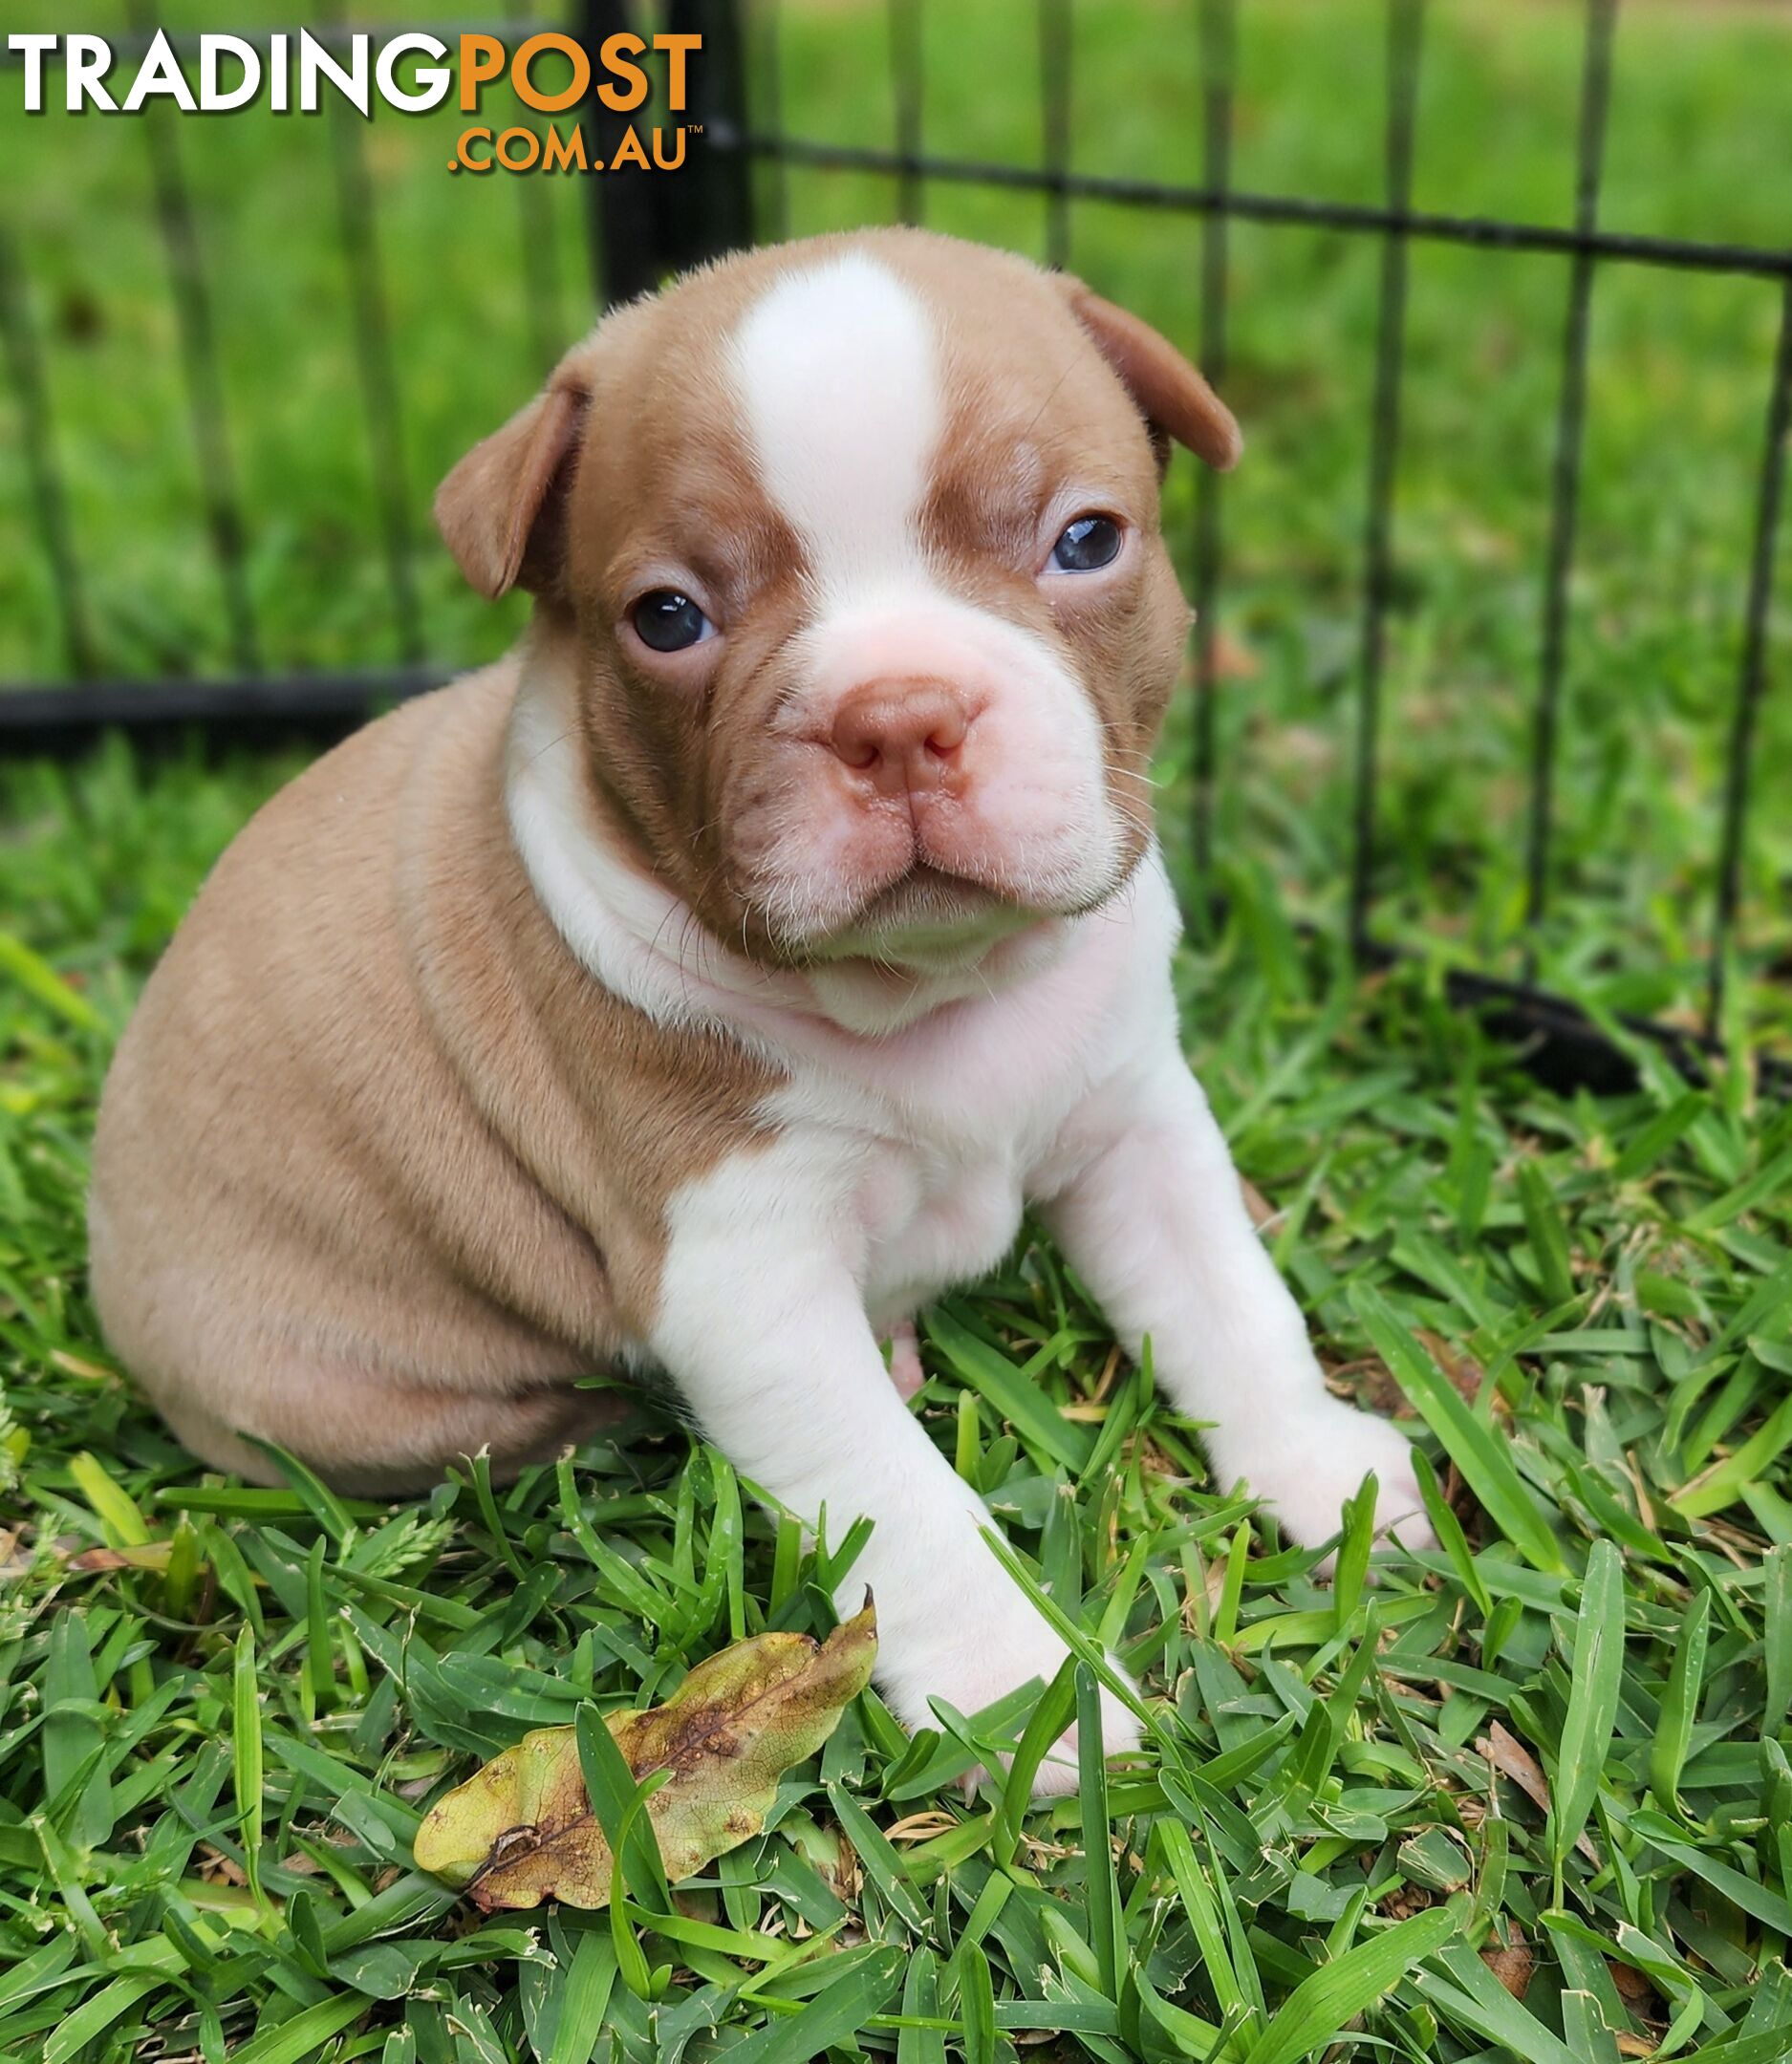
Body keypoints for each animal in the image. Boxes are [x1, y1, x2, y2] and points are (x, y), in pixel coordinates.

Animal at [91, 222, 1428, 1774]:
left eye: (1085, 541)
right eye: (669, 619)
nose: (898, 717)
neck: (930, 991)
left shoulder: (1136, 1117)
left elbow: (1230, 1298)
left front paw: (1321, 1469)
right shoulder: (749, 1278)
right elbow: (908, 1509)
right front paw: (1024, 1693)